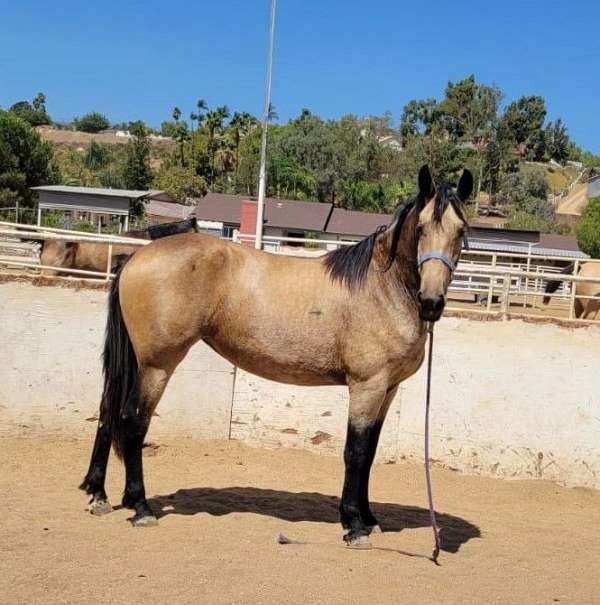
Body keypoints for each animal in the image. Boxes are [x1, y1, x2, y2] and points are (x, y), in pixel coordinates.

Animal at [79, 165, 474, 548]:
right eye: (421, 228)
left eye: (461, 231)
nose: (431, 302)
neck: (379, 288)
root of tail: (136, 256)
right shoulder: (367, 387)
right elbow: (355, 452)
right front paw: (354, 525)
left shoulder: (387, 389)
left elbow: (371, 452)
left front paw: (369, 519)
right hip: (158, 364)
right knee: (133, 422)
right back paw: (141, 507)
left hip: (136, 363)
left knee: (107, 413)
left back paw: (99, 494)